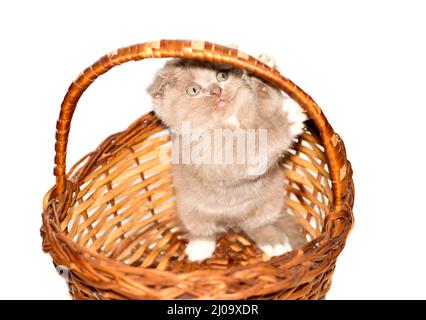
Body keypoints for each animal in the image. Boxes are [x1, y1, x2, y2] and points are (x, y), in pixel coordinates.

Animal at [148, 55, 308, 262]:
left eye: (222, 75)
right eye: (193, 90)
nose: (217, 91)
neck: (228, 121)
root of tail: (233, 220)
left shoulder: (253, 114)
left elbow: (267, 106)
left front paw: (263, 72)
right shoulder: (218, 154)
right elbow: (257, 143)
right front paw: (287, 120)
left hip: (271, 200)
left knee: (257, 225)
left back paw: (275, 243)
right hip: (189, 210)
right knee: (204, 231)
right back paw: (199, 249)